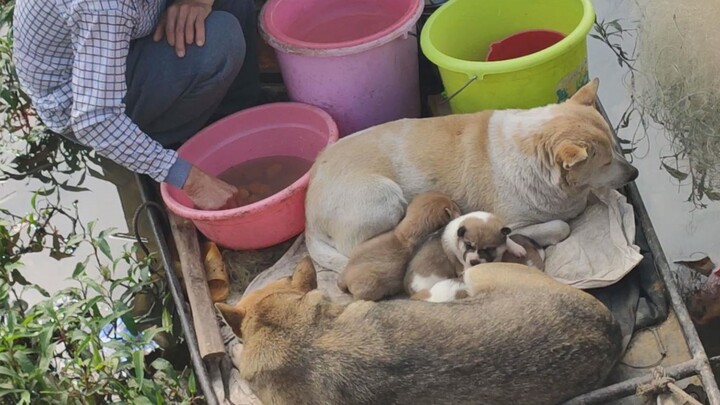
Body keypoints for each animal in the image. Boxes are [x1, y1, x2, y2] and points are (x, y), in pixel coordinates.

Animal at [300, 79, 640, 270]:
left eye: (616, 148)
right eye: (605, 162)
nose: (635, 173)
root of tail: (308, 216)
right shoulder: (516, 221)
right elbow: (560, 226)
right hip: (384, 198)